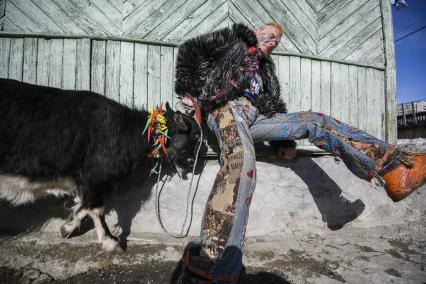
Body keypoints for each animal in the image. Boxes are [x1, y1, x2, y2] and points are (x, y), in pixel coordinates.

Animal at [0, 78, 201, 251]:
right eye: (196, 135)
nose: (193, 164)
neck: (125, 131)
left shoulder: (88, 182)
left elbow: (84, 206)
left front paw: (66, 229)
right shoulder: (93, 176)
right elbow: (96, 207)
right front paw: (110, 241)